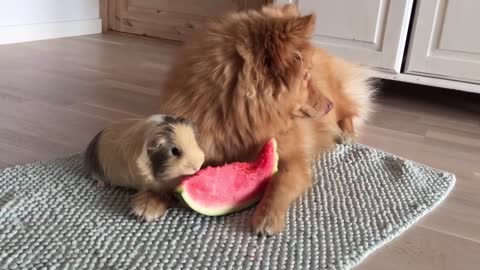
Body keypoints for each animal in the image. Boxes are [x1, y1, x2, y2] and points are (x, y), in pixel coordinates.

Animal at [158, 4, 376, 236]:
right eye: (305, 77)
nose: (328, 105)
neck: (238, 117)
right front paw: (151, 199)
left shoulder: (294, 161)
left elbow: (279, 183)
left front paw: (267, 216)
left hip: (336, 94)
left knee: (349, 110)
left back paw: (347, 133)